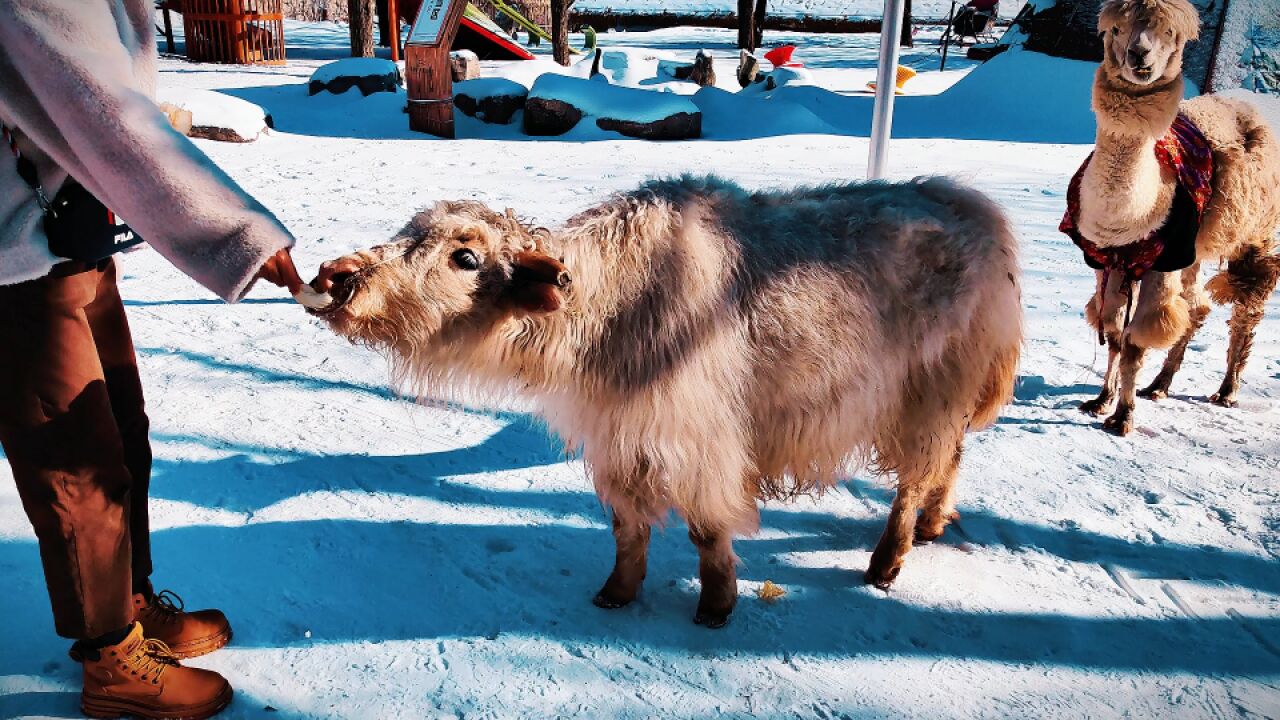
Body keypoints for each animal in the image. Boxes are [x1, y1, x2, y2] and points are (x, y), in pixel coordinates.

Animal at [309, 176, 1018, 625]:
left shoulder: (696, 440)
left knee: (915, 475)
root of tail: (978, 211)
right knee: (950, 460)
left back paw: (888, 560)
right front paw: (616, 594)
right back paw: (932, 525)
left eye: (464, 257)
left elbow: (706, 530)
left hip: (929, 393)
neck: (613, 307)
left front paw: (717, 606)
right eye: (407, 230)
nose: (336, 278)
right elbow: (627, 527)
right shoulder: (616, 437)